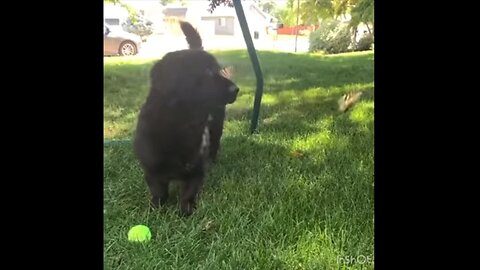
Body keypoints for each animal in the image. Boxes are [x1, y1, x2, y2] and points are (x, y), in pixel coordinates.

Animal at [132, 21, 239, 216]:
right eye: (206, 72)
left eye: (217, 70)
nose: (236, 89)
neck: (181, 124)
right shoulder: (151, 167)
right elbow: (158, 190)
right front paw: (155, 207)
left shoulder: (195, 169)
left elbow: (189, 190)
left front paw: (185, 211)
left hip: (216, 130)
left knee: (214, 148)